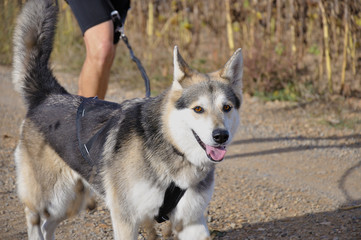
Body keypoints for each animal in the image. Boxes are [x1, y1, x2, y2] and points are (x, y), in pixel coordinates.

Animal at [11, 0, 242, 239]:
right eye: (198, 109)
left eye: (226, 107)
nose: (221, 136)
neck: (172, 147)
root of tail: (48, 95)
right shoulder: (125, 218)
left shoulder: (191, 221)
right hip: (49, 198)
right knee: (35, 219)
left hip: (69, 201)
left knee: (49, 225)